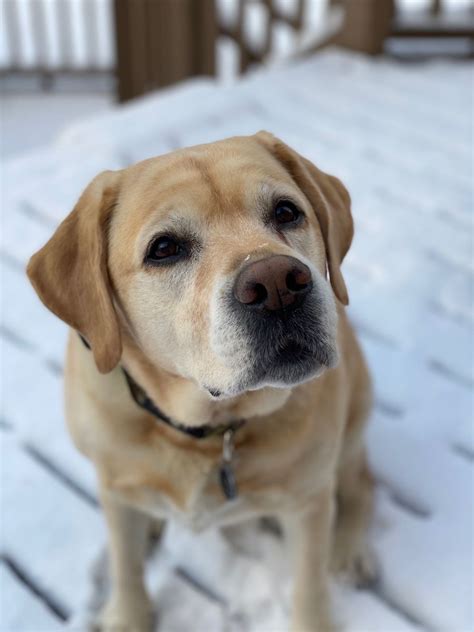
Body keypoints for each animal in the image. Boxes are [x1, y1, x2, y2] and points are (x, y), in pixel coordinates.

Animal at [27, 131, 376, 628]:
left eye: (286, 212)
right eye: (164, 248)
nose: (278, 283)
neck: (206, 429)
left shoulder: (309, 501)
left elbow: (309, 587)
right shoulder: (112, 485)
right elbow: (124, 561)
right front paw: (129, 615)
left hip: (351, 427)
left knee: (361, 484)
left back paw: (349, 550)